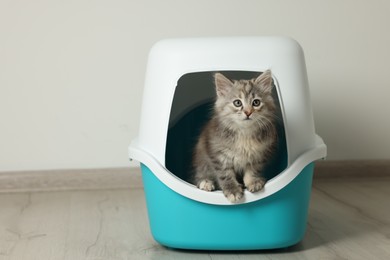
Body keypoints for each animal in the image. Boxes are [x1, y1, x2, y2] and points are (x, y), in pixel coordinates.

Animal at [192, 70, 278, 203]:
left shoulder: (259, 154)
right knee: (200, 173)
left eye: (256, 102)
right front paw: (233, 191)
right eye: (237, 103)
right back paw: (205, 182)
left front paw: (253, 182)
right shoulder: (218, 155)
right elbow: (225, 175)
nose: (248, 112)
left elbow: (253, 170)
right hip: (201, 157)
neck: (244, 134)